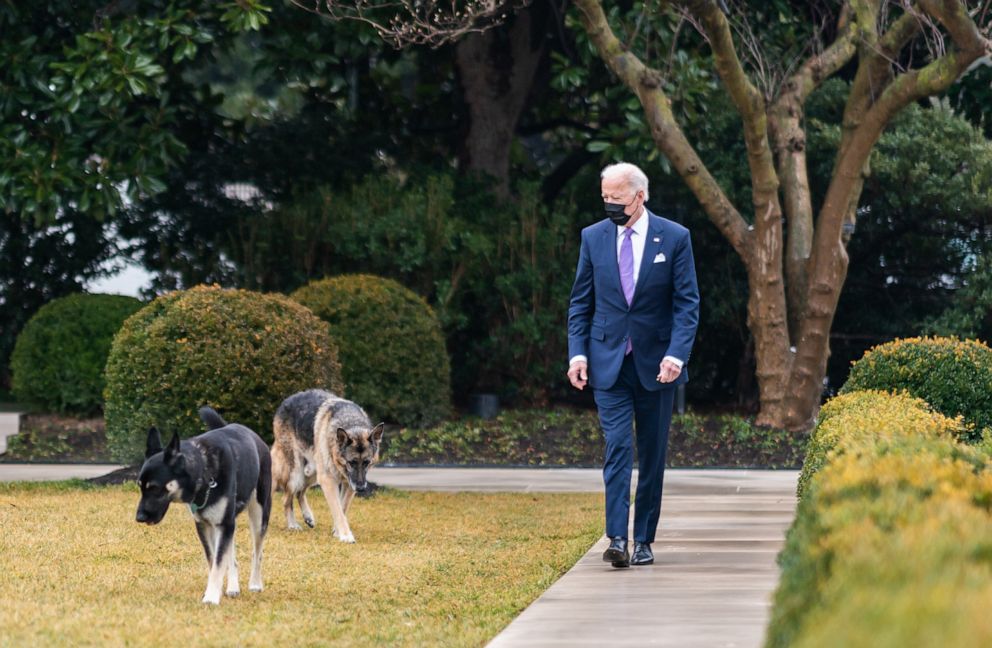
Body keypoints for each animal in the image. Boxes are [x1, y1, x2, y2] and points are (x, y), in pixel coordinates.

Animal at [137, 408, 272, 604]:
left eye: (154, 487)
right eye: (139, 486)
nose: (139, 518)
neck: (203, 471)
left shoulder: (223, 524)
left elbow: (218, 562)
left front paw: (211, 597)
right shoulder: (206, 525)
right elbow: (213, 560)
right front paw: (214, 590)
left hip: (259, 513)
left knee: (257, 552)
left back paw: (255, 584)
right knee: (232, 557)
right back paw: (233, 587)